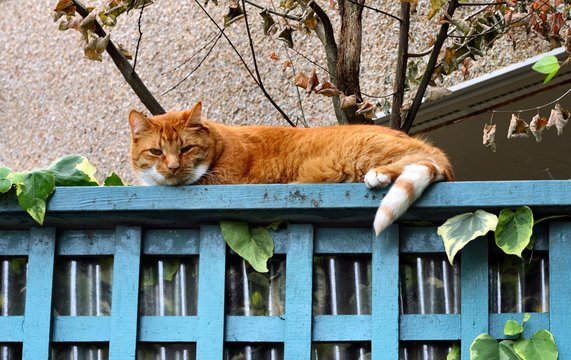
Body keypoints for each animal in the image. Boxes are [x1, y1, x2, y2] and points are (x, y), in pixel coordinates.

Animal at [127, 102, 454, 236]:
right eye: (156, 151)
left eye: (186, 149)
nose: (172, 167)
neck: (221, 143)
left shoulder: (226, 180)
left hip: (365, 152)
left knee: (413, 158)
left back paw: (380, 174)